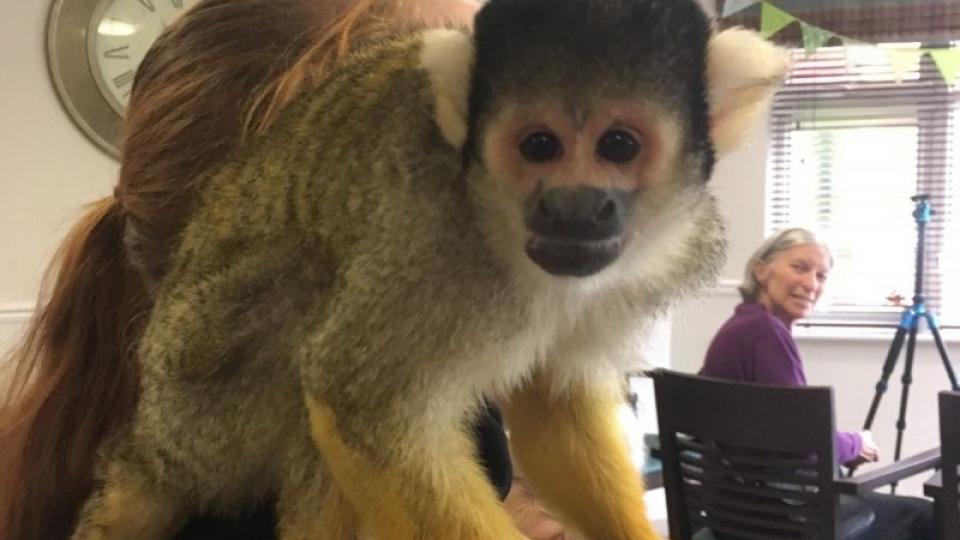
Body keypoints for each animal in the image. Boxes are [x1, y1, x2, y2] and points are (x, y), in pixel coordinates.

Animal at [0, 0, 790, 538]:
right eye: (538, 145)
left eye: (619, 145)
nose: (575, 208)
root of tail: (151, 442)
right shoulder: (430, 242)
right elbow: (361, 402)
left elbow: (553, 402)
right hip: (205, 408)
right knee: (307, 313)